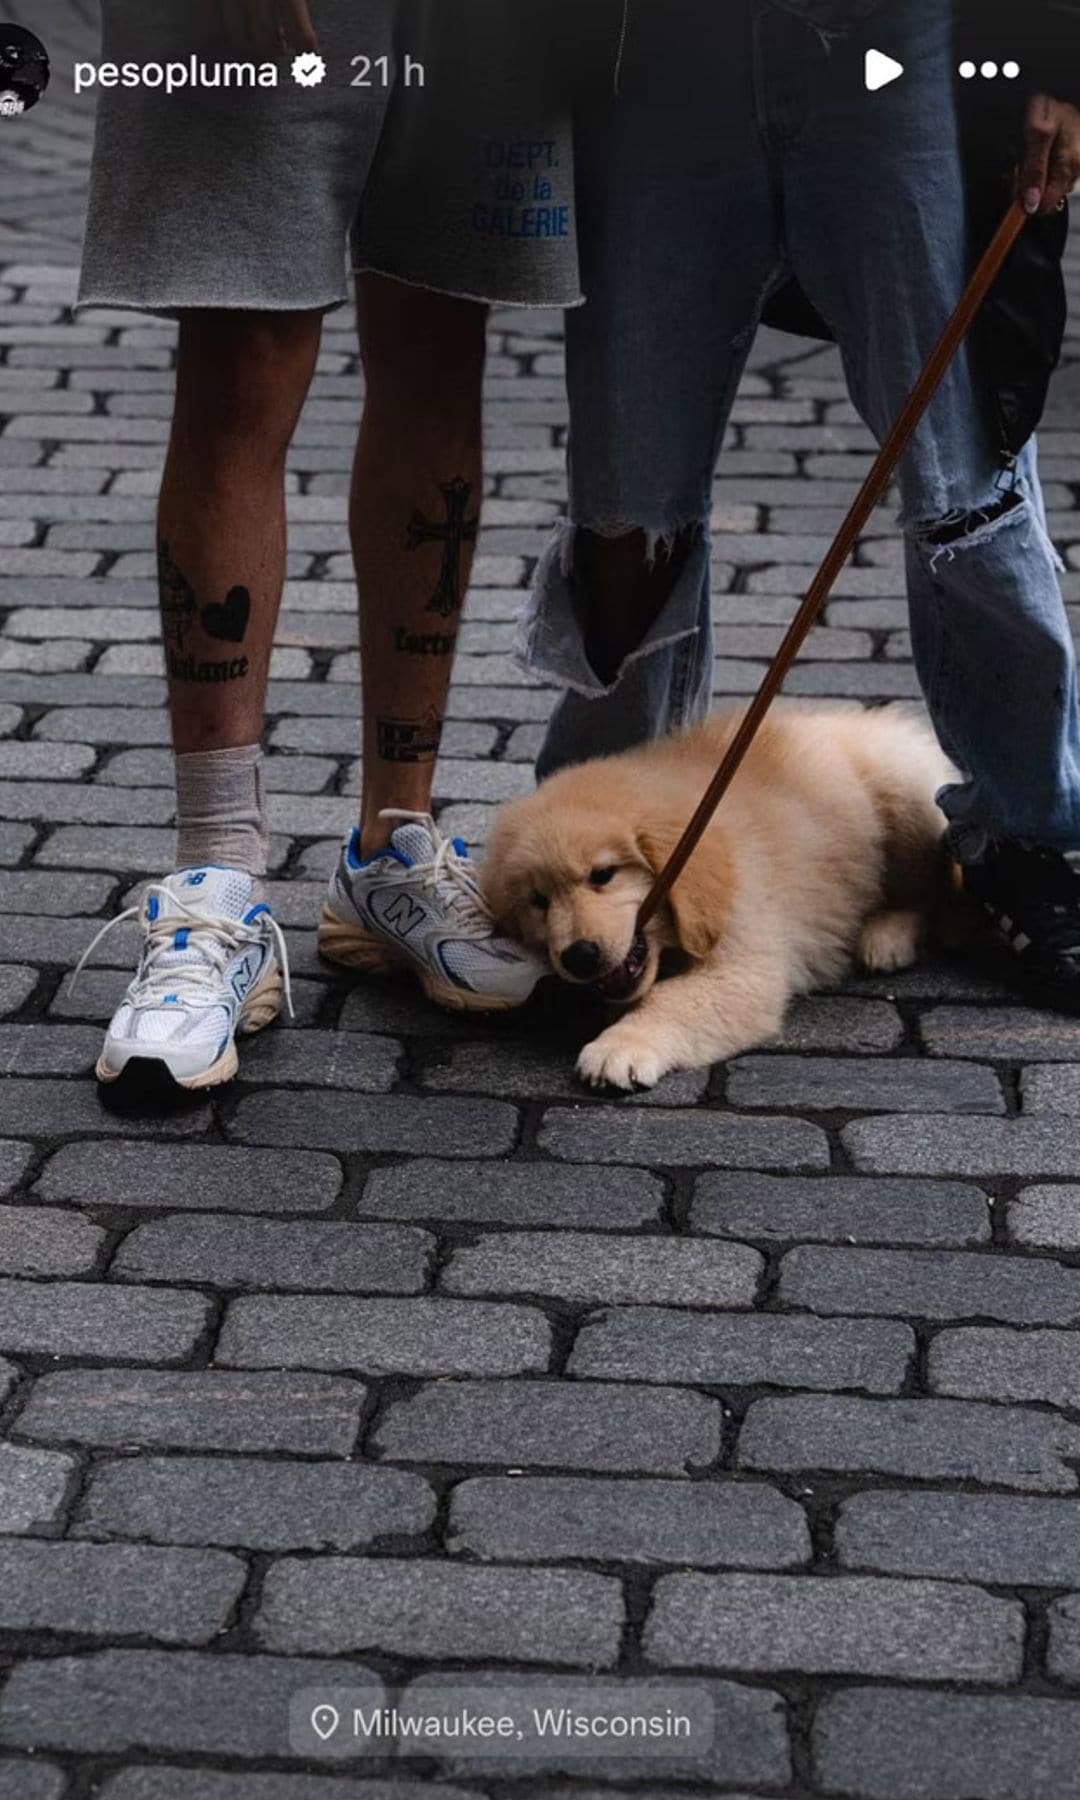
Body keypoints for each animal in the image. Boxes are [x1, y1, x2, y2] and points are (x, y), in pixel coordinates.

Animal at [486, 705, 950, 1087]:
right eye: (538, 900)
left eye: (603, 875)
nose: (579, 957)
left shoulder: (746, 962)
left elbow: (671, 998)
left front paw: (620, 1045)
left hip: (906, 790)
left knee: (932, 881)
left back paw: (887, 935)